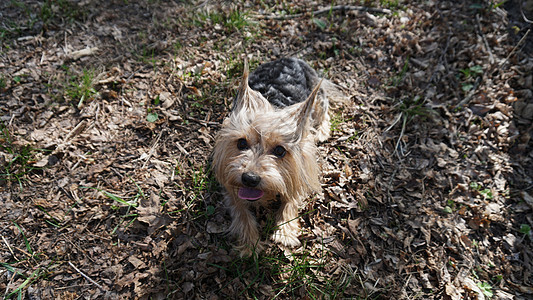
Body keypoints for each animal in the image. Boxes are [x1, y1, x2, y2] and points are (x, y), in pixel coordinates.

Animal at [210, 56, 338, 255]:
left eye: (279, 150)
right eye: (241, 143)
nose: (250, 178)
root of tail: (291, 57)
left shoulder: (300, 170)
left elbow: (291, 199)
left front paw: (285, 232)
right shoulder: (229, 181)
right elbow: (240, 210)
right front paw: (250, 243)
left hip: (317, 96)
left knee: (323, 108)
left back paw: (322, 130)